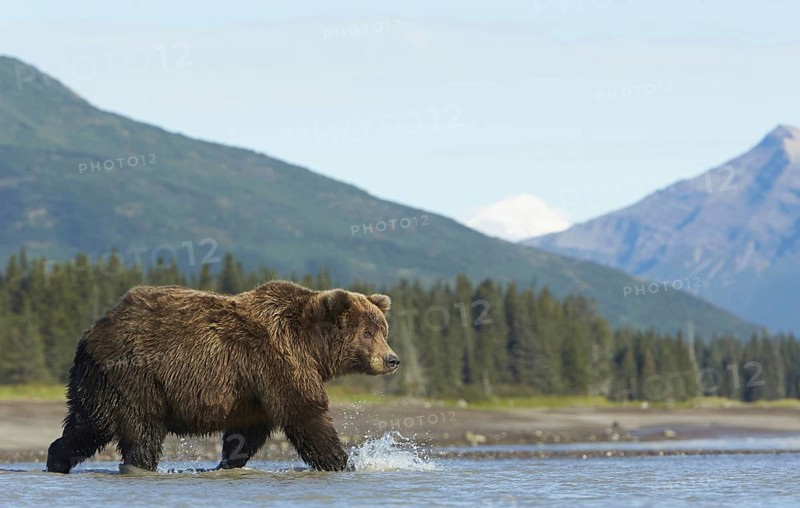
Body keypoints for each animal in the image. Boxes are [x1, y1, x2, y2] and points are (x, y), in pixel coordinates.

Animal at [46, 280, 399, 474]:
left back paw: (56, 460)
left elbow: (247, 432)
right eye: (367, 332)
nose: (392, 359)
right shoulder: (277, 361)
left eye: (383, 330)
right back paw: (140, 464)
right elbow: (305, 414)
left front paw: (226, 464)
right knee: (141, 430)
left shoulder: (254, 389)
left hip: (97, 383)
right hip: (135, 376)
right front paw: (343, 462)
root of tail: (91, 333)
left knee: (86, 426)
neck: (311, 345)